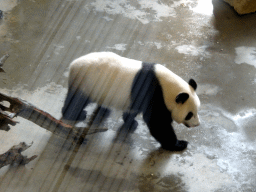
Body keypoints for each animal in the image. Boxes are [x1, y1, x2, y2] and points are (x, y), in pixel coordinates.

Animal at [61, 51, 200, 151]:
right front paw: (178, 144)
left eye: (197, 110)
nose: (197, 124)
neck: (166, 87)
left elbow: (133, 110)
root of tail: (73, 64)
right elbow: (157, 122)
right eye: (189, 114)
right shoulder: (154, 94)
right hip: (86, 82)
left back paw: (105, 110)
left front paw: (131, 122)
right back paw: (76, 114)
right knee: (77, 100)